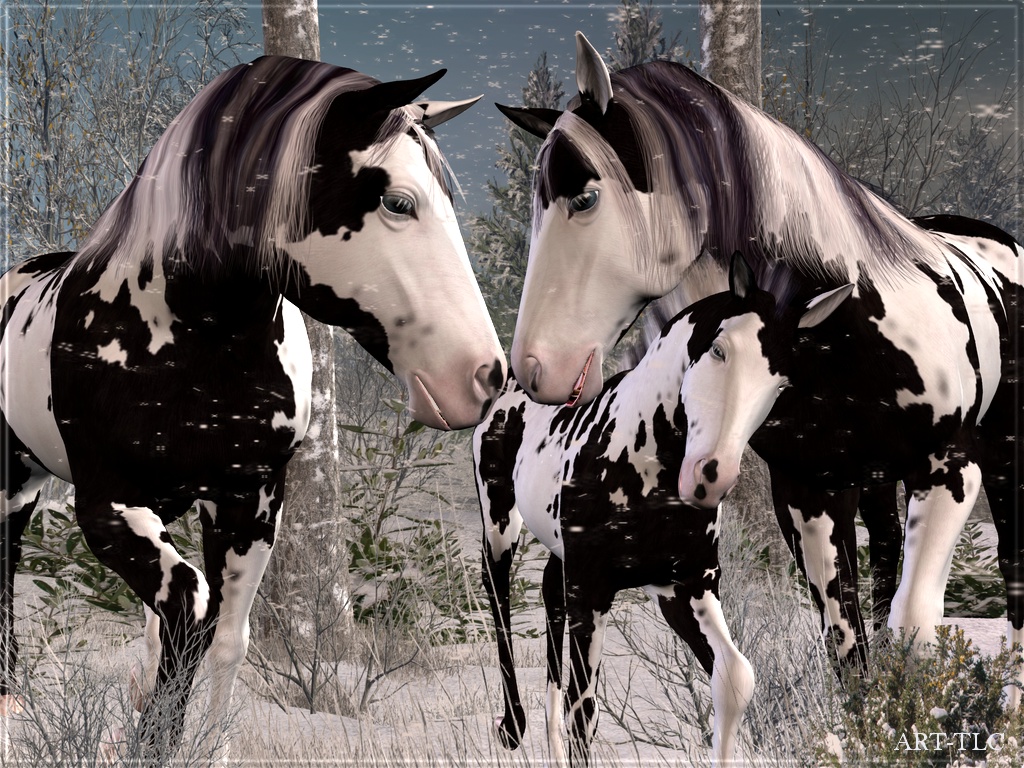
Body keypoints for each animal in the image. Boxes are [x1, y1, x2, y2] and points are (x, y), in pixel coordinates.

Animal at [0, 55, 505, 761]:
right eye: (397, 202)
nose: (484, 375)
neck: (191, 337)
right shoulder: (105, 505)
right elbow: (189, 608)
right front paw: (151, 745)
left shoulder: (252, 501)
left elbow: (226, 640)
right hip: (14, 488)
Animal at [474, 253, 852, 765]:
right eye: (719, 351)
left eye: (779, 383)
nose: (711, 477)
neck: (645, 465)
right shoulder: (592, 592)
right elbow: (583, 711)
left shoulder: (685, 587)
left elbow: (736, 678)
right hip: (500, 520)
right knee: (498, 595)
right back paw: (511, 727)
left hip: (561, 559)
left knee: (550, 604)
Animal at [498, 32, 1024, 700]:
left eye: (585, 198)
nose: (535, 370)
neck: (845, 337)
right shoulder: (809, 495)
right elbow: (847, 643)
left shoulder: (951, 472)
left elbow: (910, 626)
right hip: (877, 488)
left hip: (1002, 463)